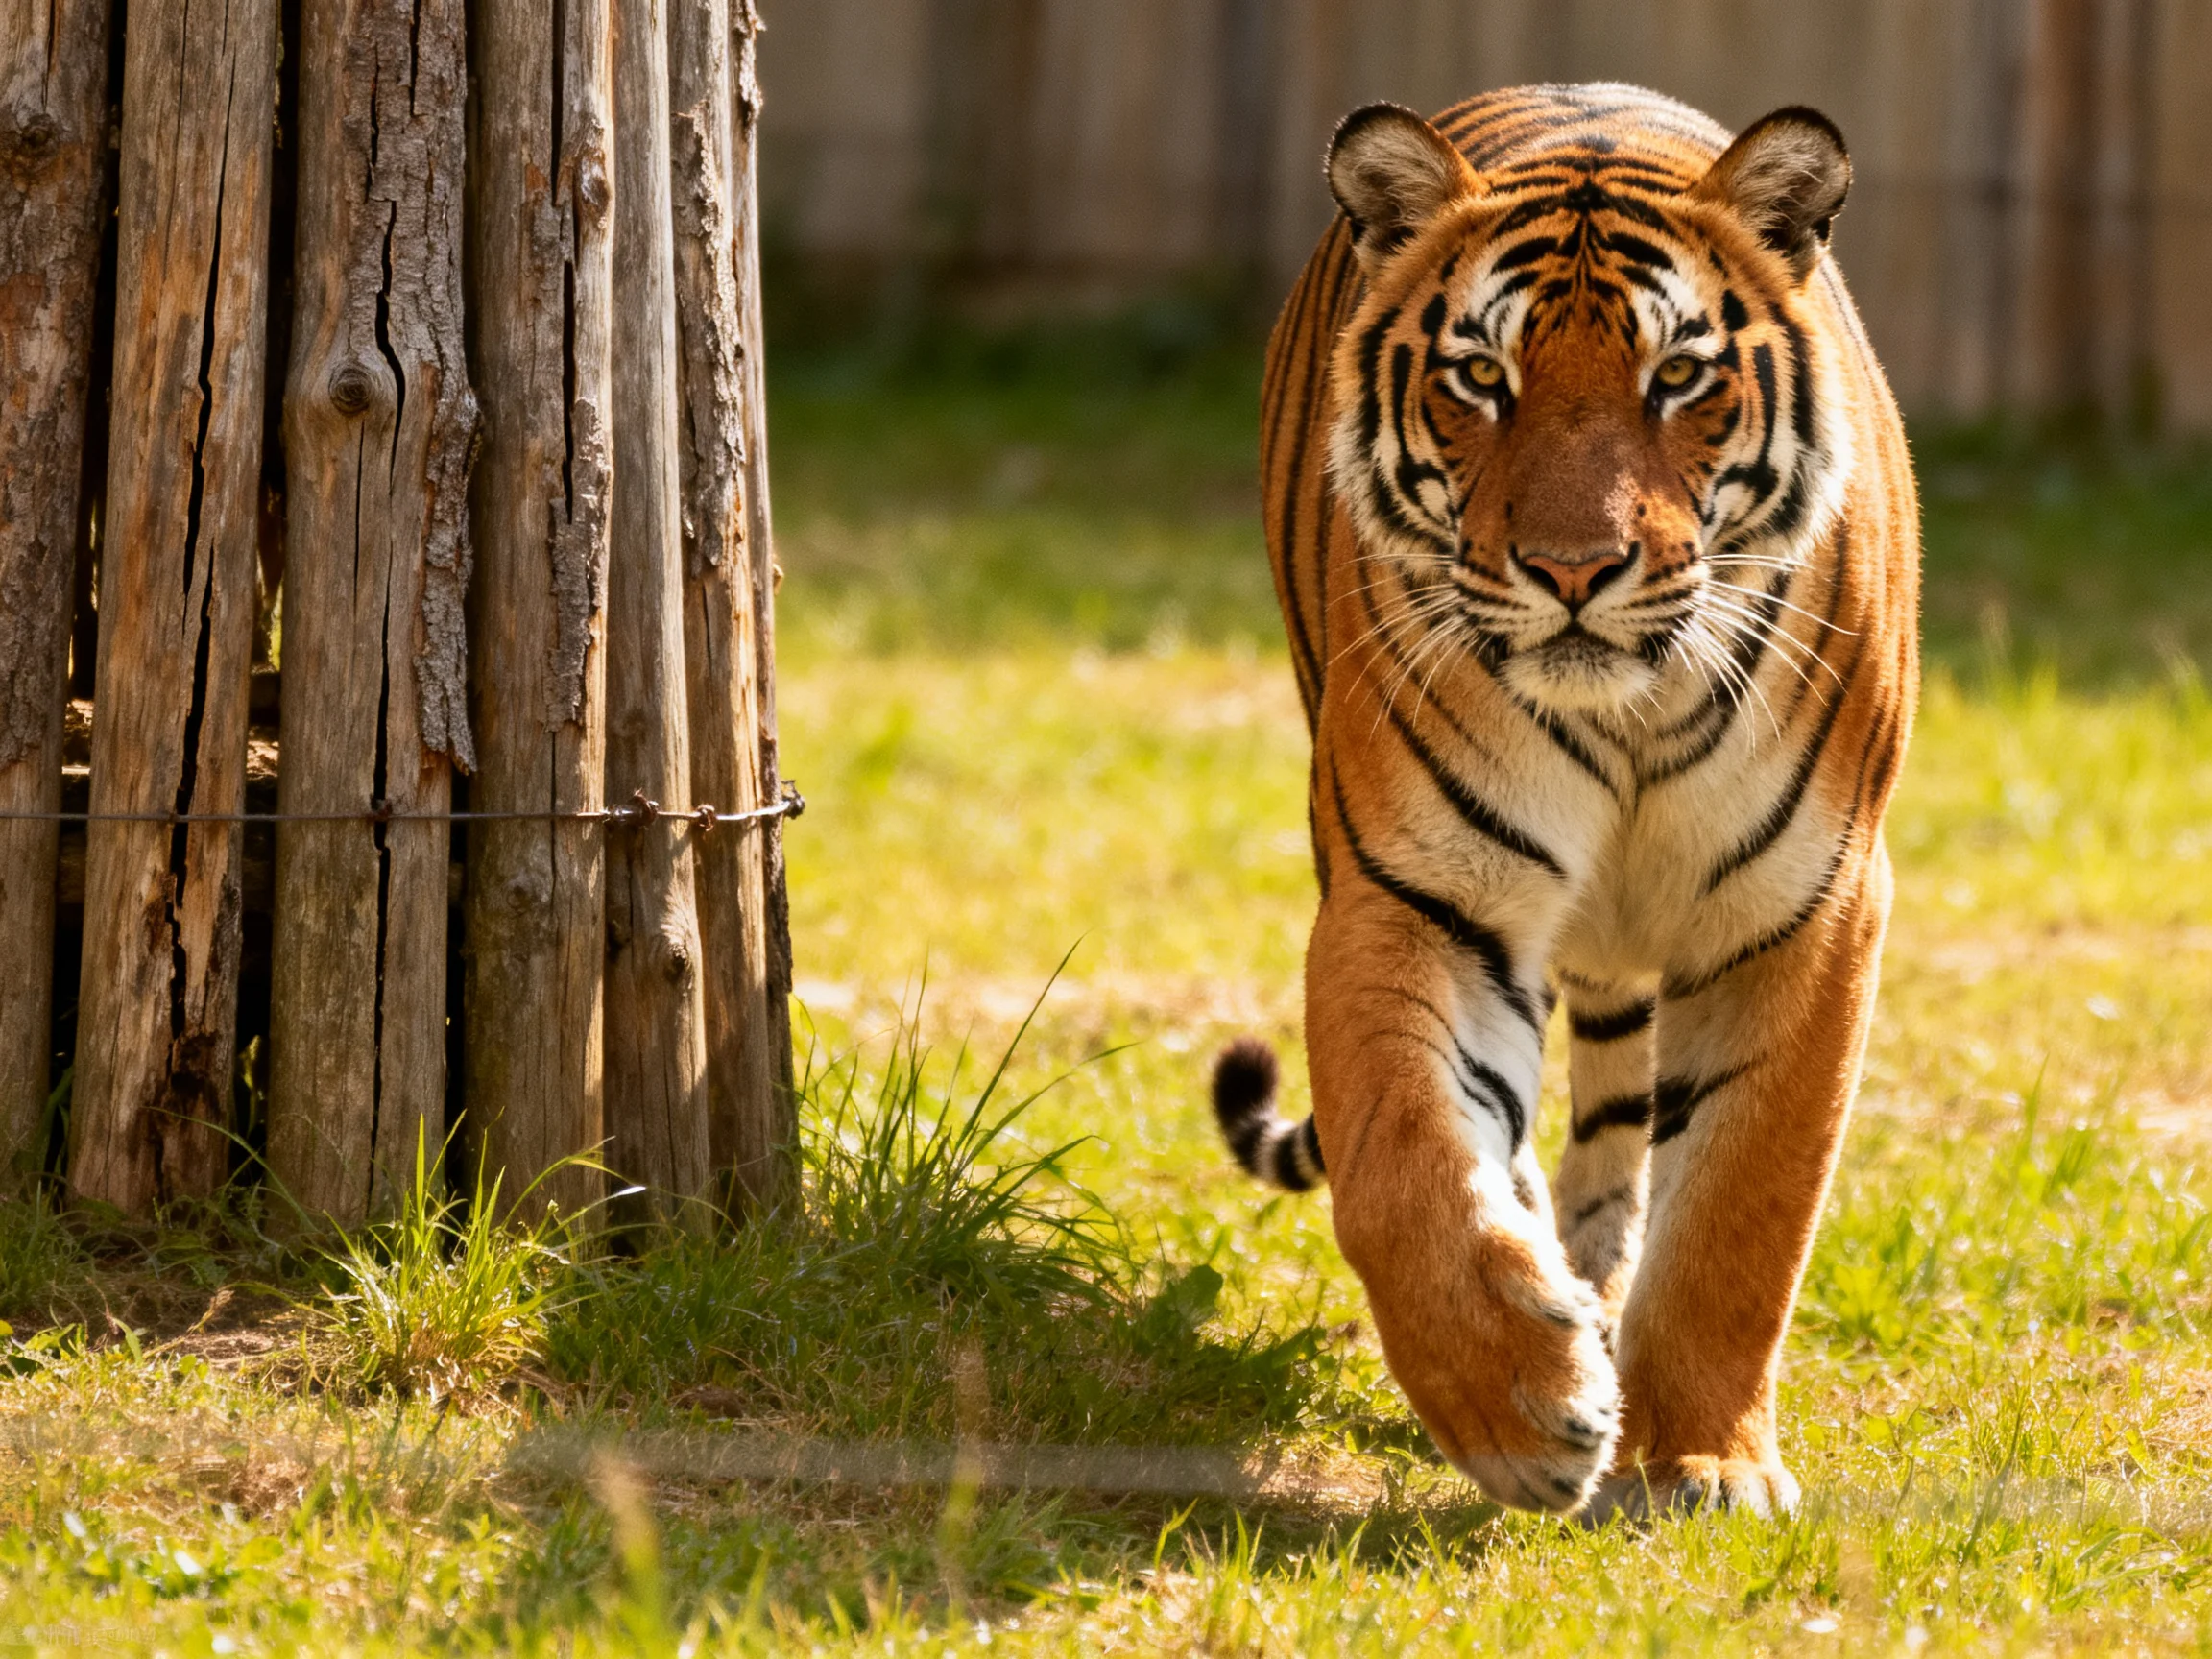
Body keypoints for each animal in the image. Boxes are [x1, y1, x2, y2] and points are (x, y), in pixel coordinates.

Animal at [1213, 83, 1917, 1521]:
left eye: (1680, 377)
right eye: (1483, 377)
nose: (1574, 568)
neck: (1629, 716)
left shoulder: (1804, 913)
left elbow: (1745, 1210)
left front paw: (1704, 1460)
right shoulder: (1414, 894)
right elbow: (1402, 1164)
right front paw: (1525, 1407)